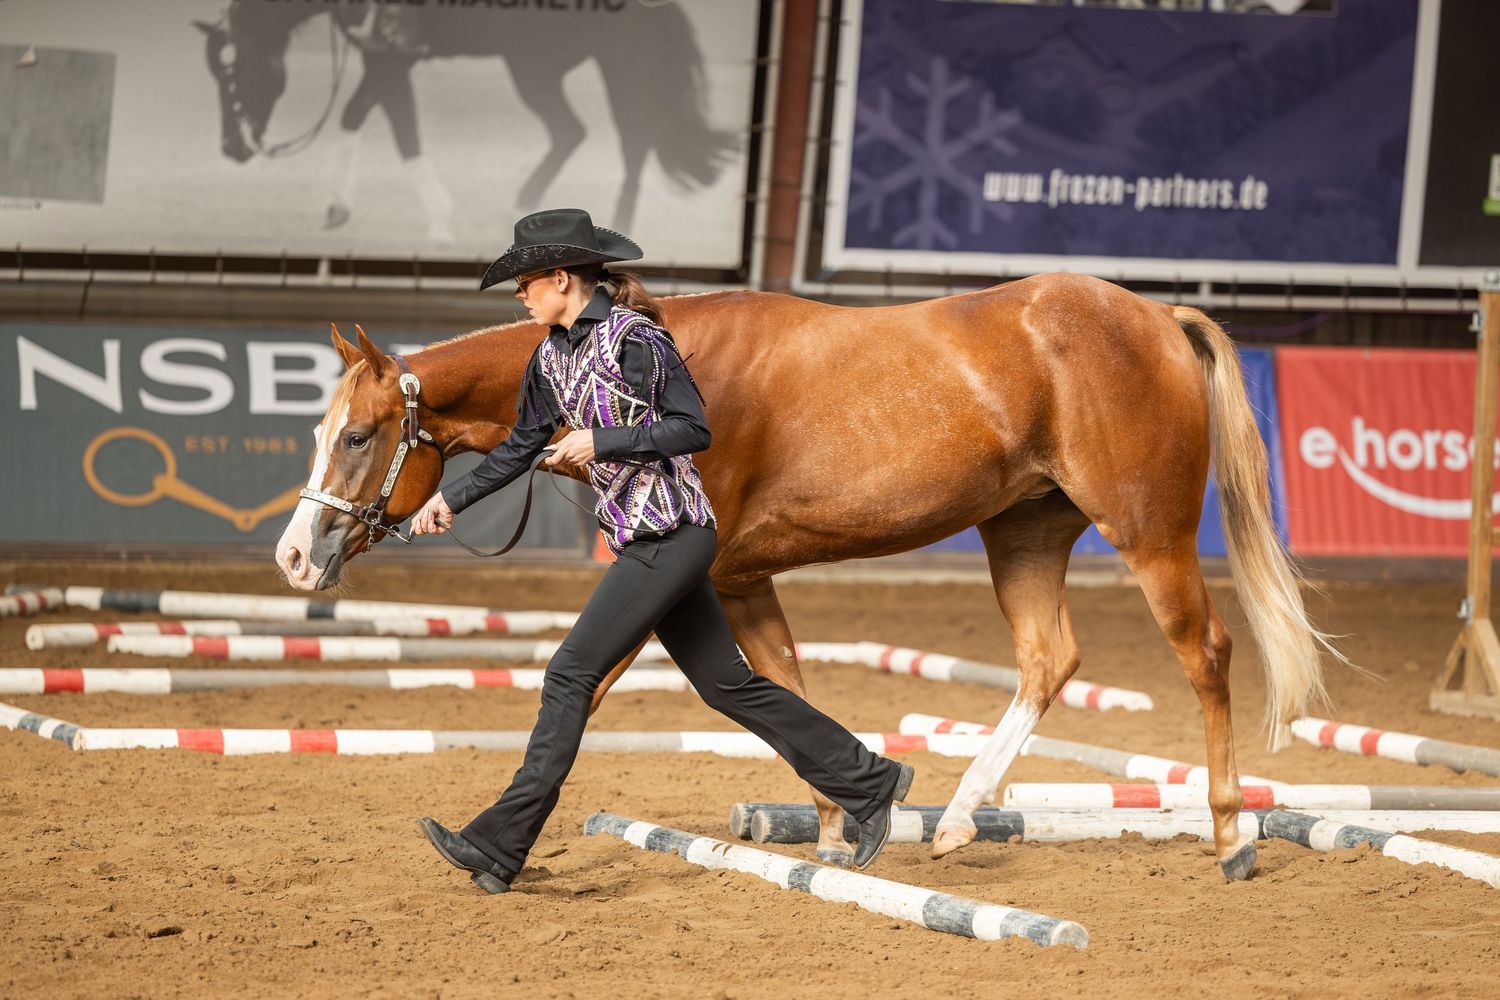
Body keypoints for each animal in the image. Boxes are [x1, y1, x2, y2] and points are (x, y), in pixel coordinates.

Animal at [192, 1, 735, 241]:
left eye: (233, 71)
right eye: (214, 73)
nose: (231, 147)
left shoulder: (393, 58)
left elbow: (401, 130)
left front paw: (439, 220)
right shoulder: (381, 56)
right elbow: (360, 115)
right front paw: (337, 206)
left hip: (610, 62)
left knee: (632, 139)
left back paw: (616, 220)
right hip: (537, 67)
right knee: (573, 131)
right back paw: (530, 204)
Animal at [274, 273, 1336, 879]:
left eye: (360, 436)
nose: (294, 555)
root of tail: (1154, 311)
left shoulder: (666, 581)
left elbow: (588, 687)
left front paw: (489, 847)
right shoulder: (741, 582)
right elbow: (779, 688)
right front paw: (842, 826)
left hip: (1149, 535)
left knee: (1207, 653)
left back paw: (1232, 837)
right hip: (1025, 535)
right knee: (1049, 660)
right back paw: (955, 822)